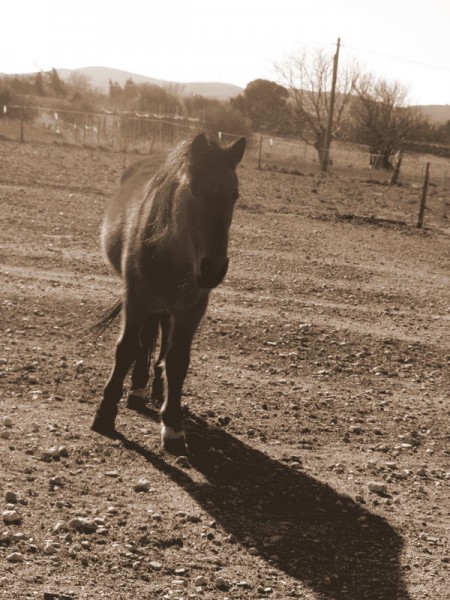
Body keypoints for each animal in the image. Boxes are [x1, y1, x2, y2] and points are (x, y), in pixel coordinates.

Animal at [91, 132, 246, 454]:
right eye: (193, 190)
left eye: (234, 196)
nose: (213, 269)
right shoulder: (136, 298)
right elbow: (127, 348)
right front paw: (105, 413)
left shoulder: (192, 309)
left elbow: (177, 360)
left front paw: (172, 425)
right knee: (146, 335)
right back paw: (138, 388)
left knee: (160, 334)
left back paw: (154, 388)